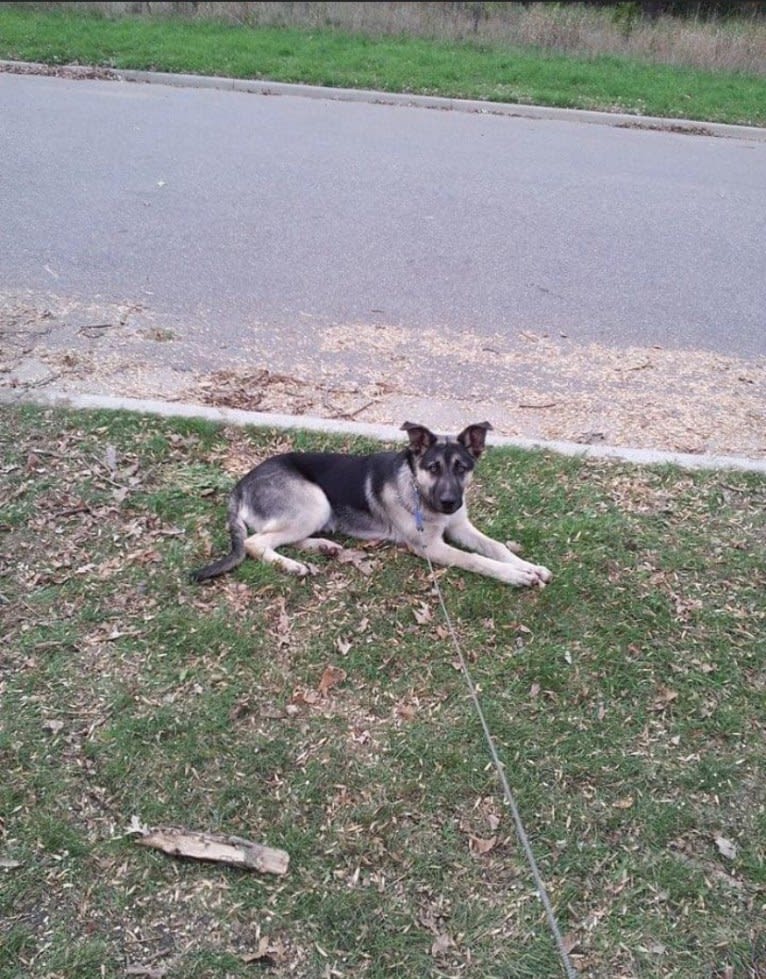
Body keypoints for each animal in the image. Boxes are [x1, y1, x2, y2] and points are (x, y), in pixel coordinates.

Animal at [192, 424, 552, 588]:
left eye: (461, 468)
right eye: (433, 468)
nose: (450, 502)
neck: (418, 490)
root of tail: (241, 484)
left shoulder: (460, 526)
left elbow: (495, 546)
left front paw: (529, 565)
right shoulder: (431, 547)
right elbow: (476, 559)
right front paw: (515, 575)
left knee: (277, 537)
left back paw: (323, 546)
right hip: (315, 502)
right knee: (255, 543)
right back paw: (292, 566)